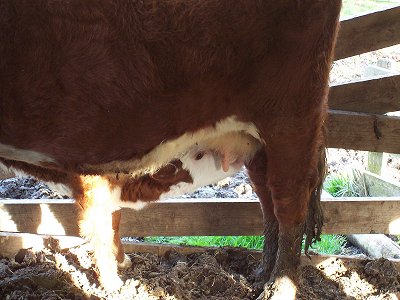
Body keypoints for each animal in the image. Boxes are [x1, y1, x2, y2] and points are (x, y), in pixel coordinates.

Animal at [0, 1, 340, 298]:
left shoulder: (89, 176)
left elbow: (100, 227)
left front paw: (112, 284)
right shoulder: (99, 177)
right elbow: (110, 221)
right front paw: (122, 265)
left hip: (291, 119)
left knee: (289, 204)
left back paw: (279, 288)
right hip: (258, 145)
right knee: (268, 202)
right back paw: (261, 275)